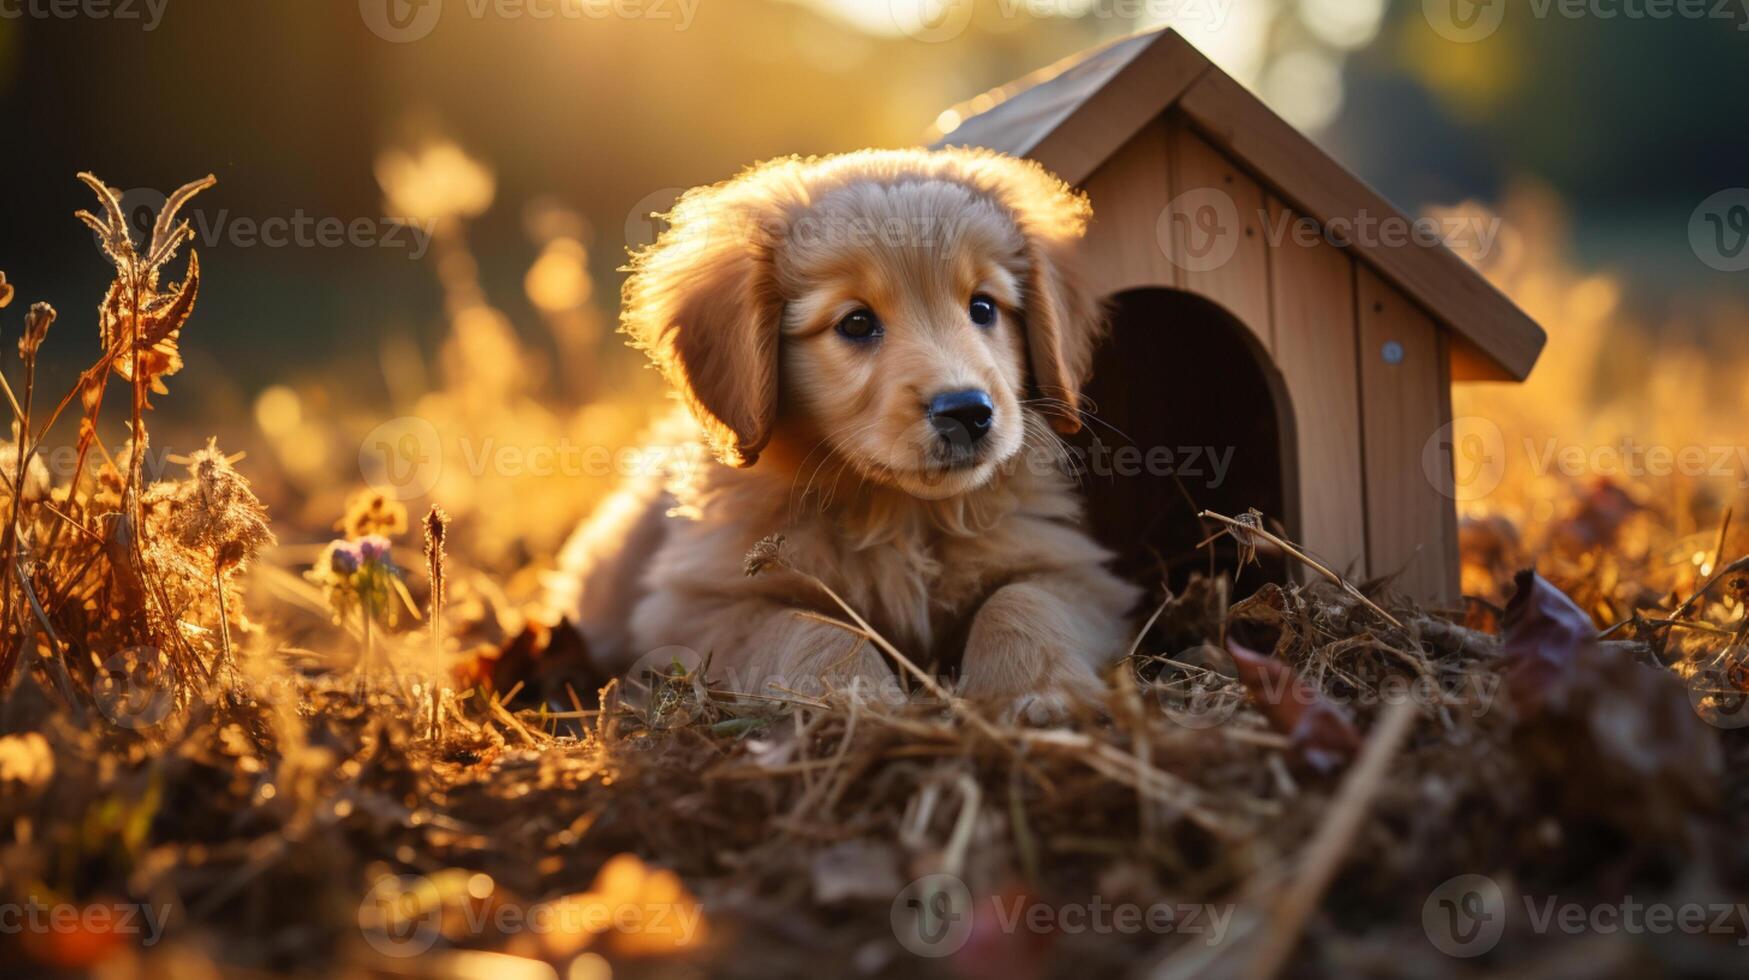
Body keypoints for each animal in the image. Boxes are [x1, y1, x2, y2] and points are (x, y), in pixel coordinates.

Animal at [549, 149, 1147, 724]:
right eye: (856, 323)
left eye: (982, 307)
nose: (967, 411)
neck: (901, 515)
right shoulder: (696, 605)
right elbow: (807, 626)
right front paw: (856, 696)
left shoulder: (1076, 572)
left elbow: (1023, 601)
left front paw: (1040, 692)